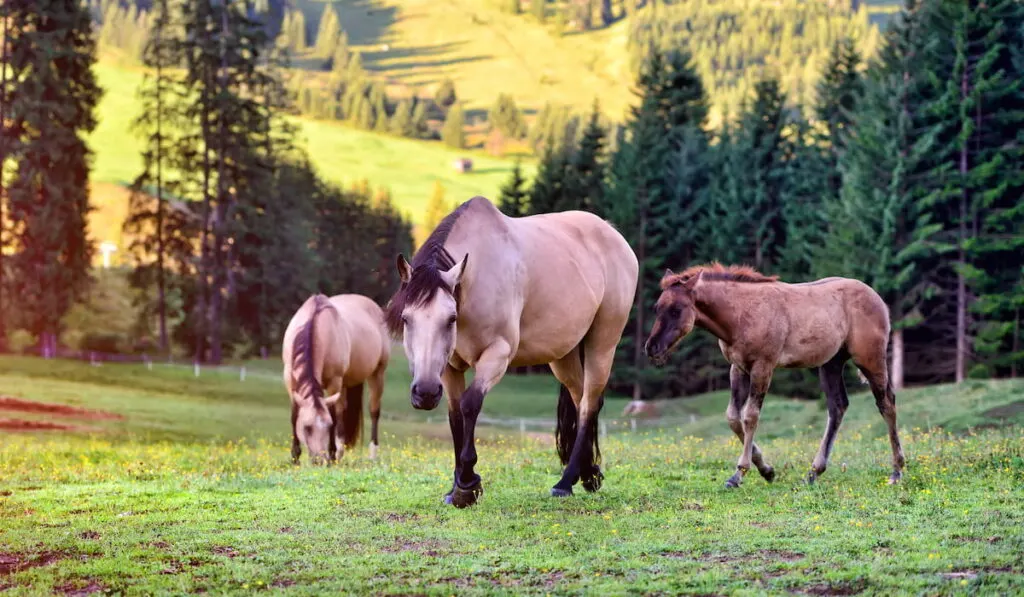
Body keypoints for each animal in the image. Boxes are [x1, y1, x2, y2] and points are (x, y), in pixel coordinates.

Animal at [282, 294, 389, 466]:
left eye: (328, 426)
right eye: (307, 428)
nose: (319, 460)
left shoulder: (334, 382)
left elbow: (334, 415)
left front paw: (331, 455)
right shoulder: (289, 380)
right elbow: (294, 416)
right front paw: (295, 458)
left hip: (377, 374)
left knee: (373, 412)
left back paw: (371, 454)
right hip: (346, 383)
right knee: (343, 411)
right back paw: (340, 453)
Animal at [385, 196, 638, 509]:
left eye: (451, 318)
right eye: (406, 319)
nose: (425, 393)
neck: (476, 279)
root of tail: (612, 233)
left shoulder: (498, 354)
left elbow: (470, 404)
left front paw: (468, 485)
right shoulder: (449, 367)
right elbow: (455, 416)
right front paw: (454, 488)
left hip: (602, 343)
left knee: (590, 402)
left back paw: (565, 483)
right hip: (563, 355)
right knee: (582, 401)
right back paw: (589, 474)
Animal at [643, 264, 909, 487]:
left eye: (677, 310)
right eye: (657, 308)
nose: (652, 348)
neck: (742, 314)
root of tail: (878, 299)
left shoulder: (763, 366)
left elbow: (750, 416)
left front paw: (739, 474)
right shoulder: (738, 368)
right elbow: (732, 417)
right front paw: (767, 470)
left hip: (870, 359)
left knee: (887, 403)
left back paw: (896, 471)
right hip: (831, 364)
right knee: (838, 406)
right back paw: (813, 473)